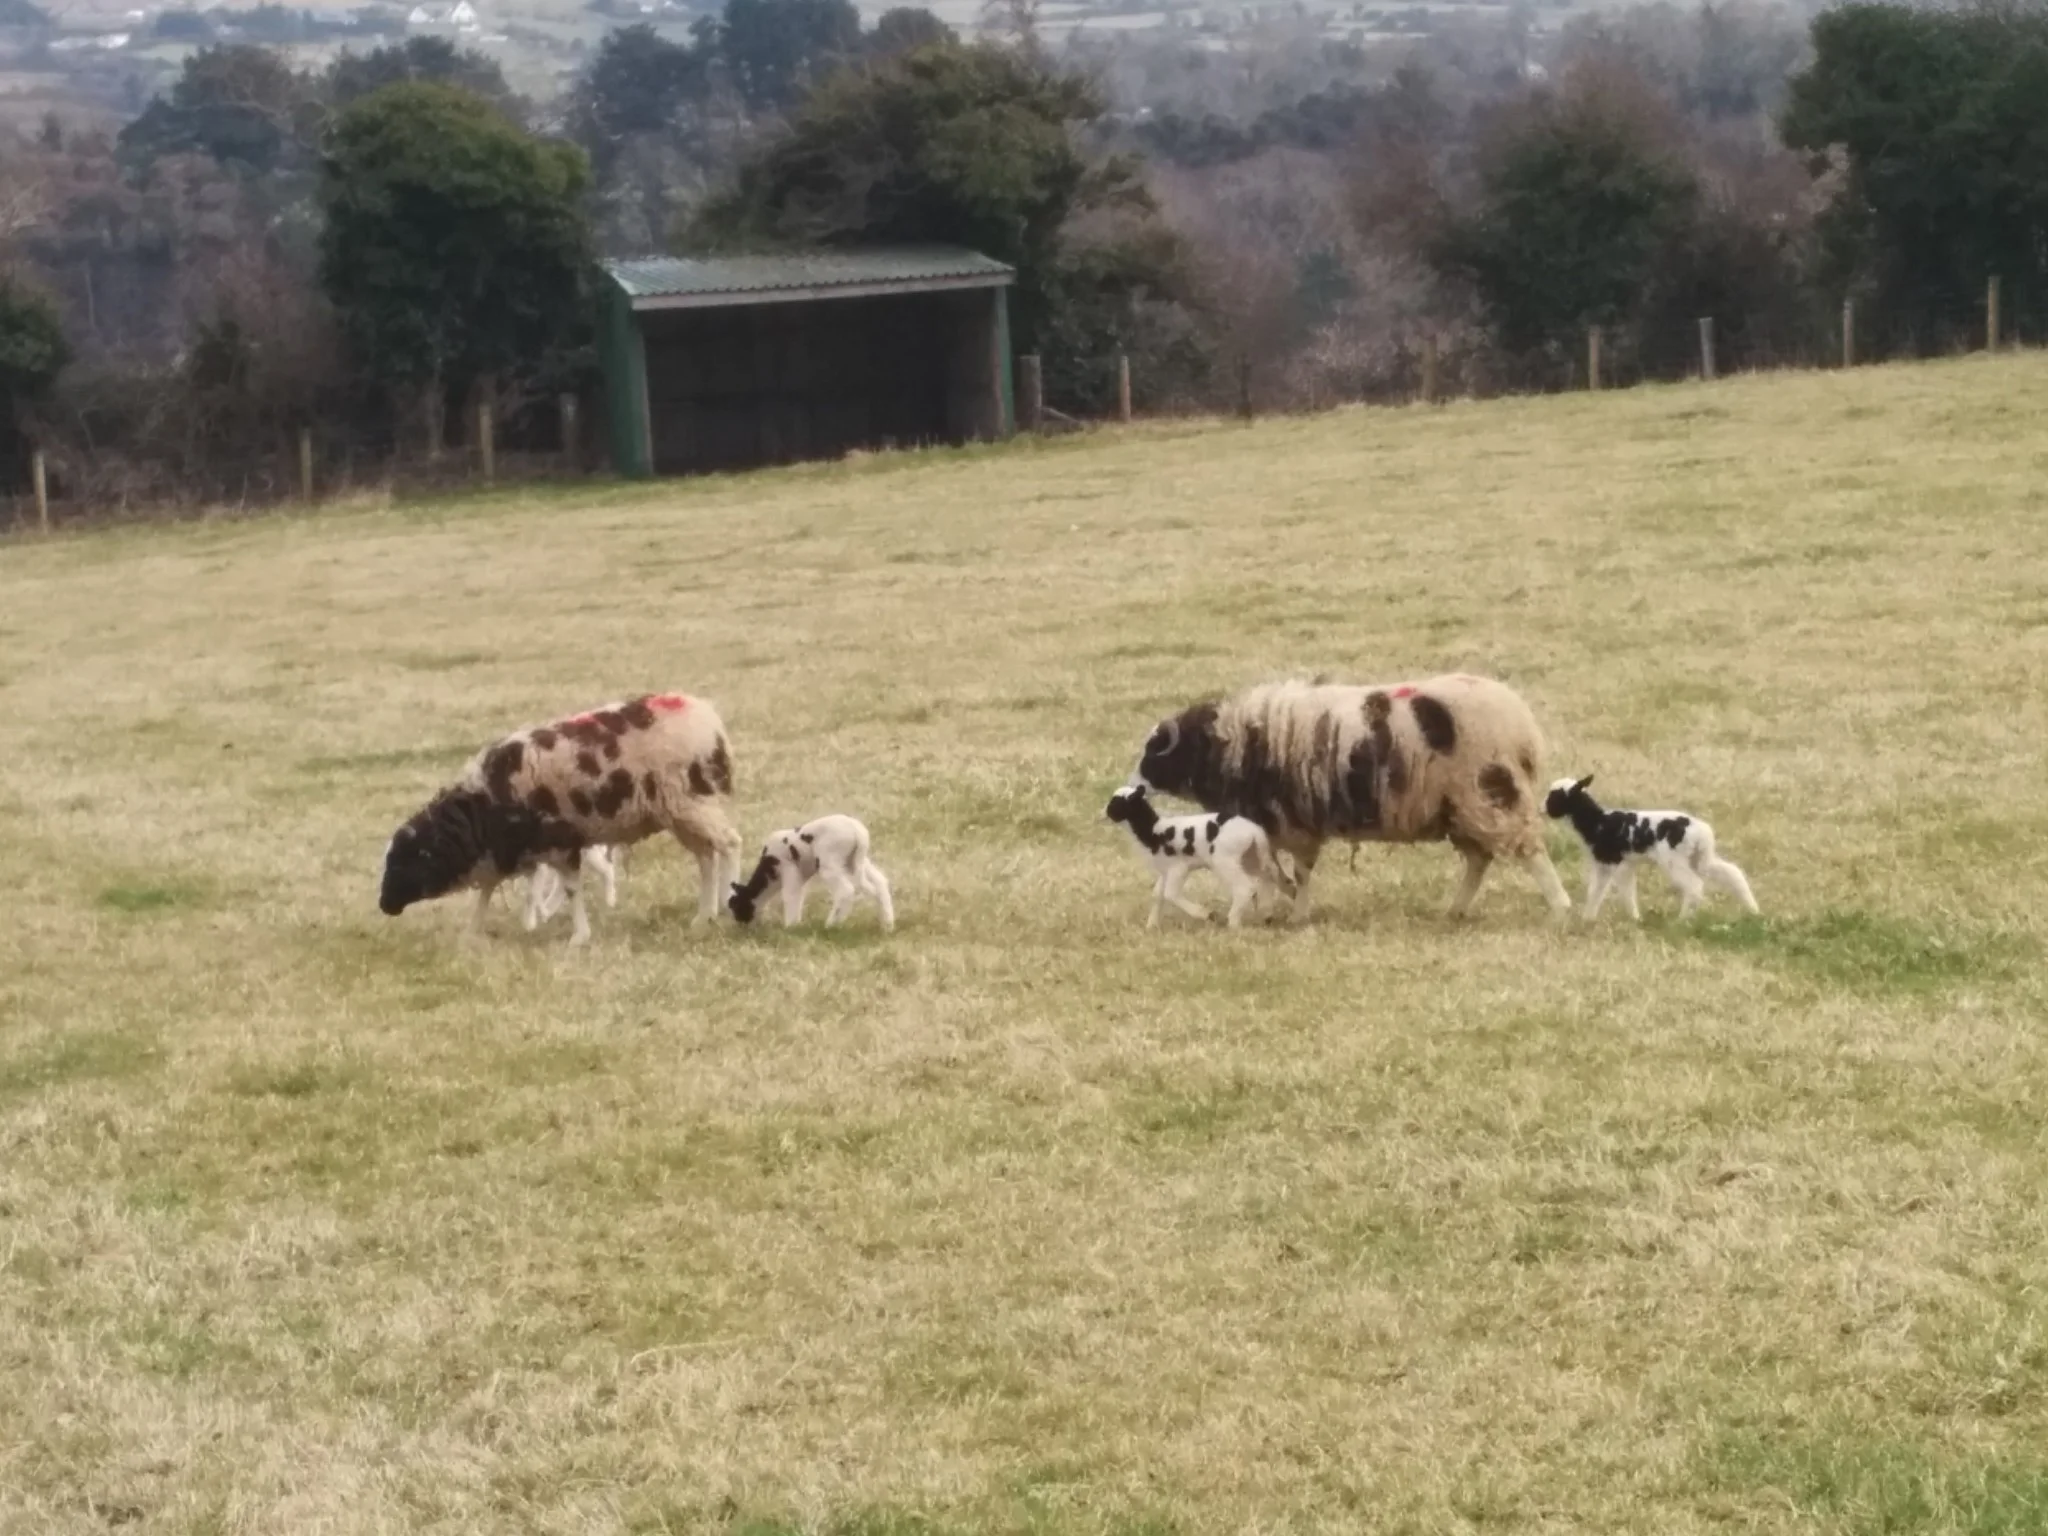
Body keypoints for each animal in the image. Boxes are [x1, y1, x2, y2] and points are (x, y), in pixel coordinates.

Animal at [379, 692, 743, 944]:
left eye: (402, 862)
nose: (383, 905)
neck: (480, 808)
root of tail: (708, 717)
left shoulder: (561, 840)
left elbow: (570, 890)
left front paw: (578, 937)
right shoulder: (507, 851)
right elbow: (487, 892)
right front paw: (472, 933)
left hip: (693, 802)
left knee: (730, 844)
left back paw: (728, 905)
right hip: (680, 812)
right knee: (706, 857)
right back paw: (703, 916)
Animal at [727, 814, 894, 931]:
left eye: (737, 905)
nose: (741, 927)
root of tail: (857, 832)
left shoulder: (788, 868)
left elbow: (789, 896)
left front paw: (789, 927)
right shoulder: (801, 875)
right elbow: (799, 896)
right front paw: (796, 923)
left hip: (829, 862)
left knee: (846, 890)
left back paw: (831, 925)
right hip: (856, 860)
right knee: (880, 882)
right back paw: (887, 924)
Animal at [1105, 784, 1294, 928]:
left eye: (1116, 803)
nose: (1104, 813)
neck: (1152, 830)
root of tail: (1255, 832)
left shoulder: (1178, 868)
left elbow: (1170, 894)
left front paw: (1206, 914)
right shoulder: (1165, 870)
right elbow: (1157, 894)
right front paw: (1151, 925)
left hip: (1225, 861)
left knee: (1245, 887)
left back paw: (1233, 922)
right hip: (1251, 857)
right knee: (1268, 877)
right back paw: (1267, 912)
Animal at [1129, 674, 1571, 923]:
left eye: (1154, 752)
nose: (1133, 787)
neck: (1229, 742)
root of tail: (1522, 723)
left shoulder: (1291, 823)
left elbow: (1291, 873)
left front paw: (1289, 912)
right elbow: (1276, 870)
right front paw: (1281, 906)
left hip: (1490, 791)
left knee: (1531, 851)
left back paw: (1561, 906)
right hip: (1460, 808)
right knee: (1479, 861)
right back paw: (1455, 910)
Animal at [1543, 774, 1759, 922]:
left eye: (1553, 797)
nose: (1540, 809)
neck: (1596, 821)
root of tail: (1701, 831)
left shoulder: (1611, 862)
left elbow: (1603, 890)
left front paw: (1590, 918)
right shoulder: (1622, 865)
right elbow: (1621, 891)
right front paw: (1633, 918)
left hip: (1674, 859)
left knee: (1694, 886)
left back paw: (1682, 920)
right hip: (1700, 857)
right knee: (1732, 873)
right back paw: (1753, 909)